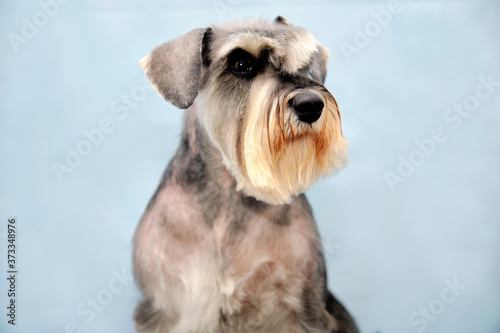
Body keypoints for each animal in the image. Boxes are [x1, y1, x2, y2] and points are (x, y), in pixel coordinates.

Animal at [133, 16, 358, 332]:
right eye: (241, 64)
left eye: (304, 64)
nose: (310, 104)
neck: (232, 193)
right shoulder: (170, 308)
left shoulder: (303, 310)